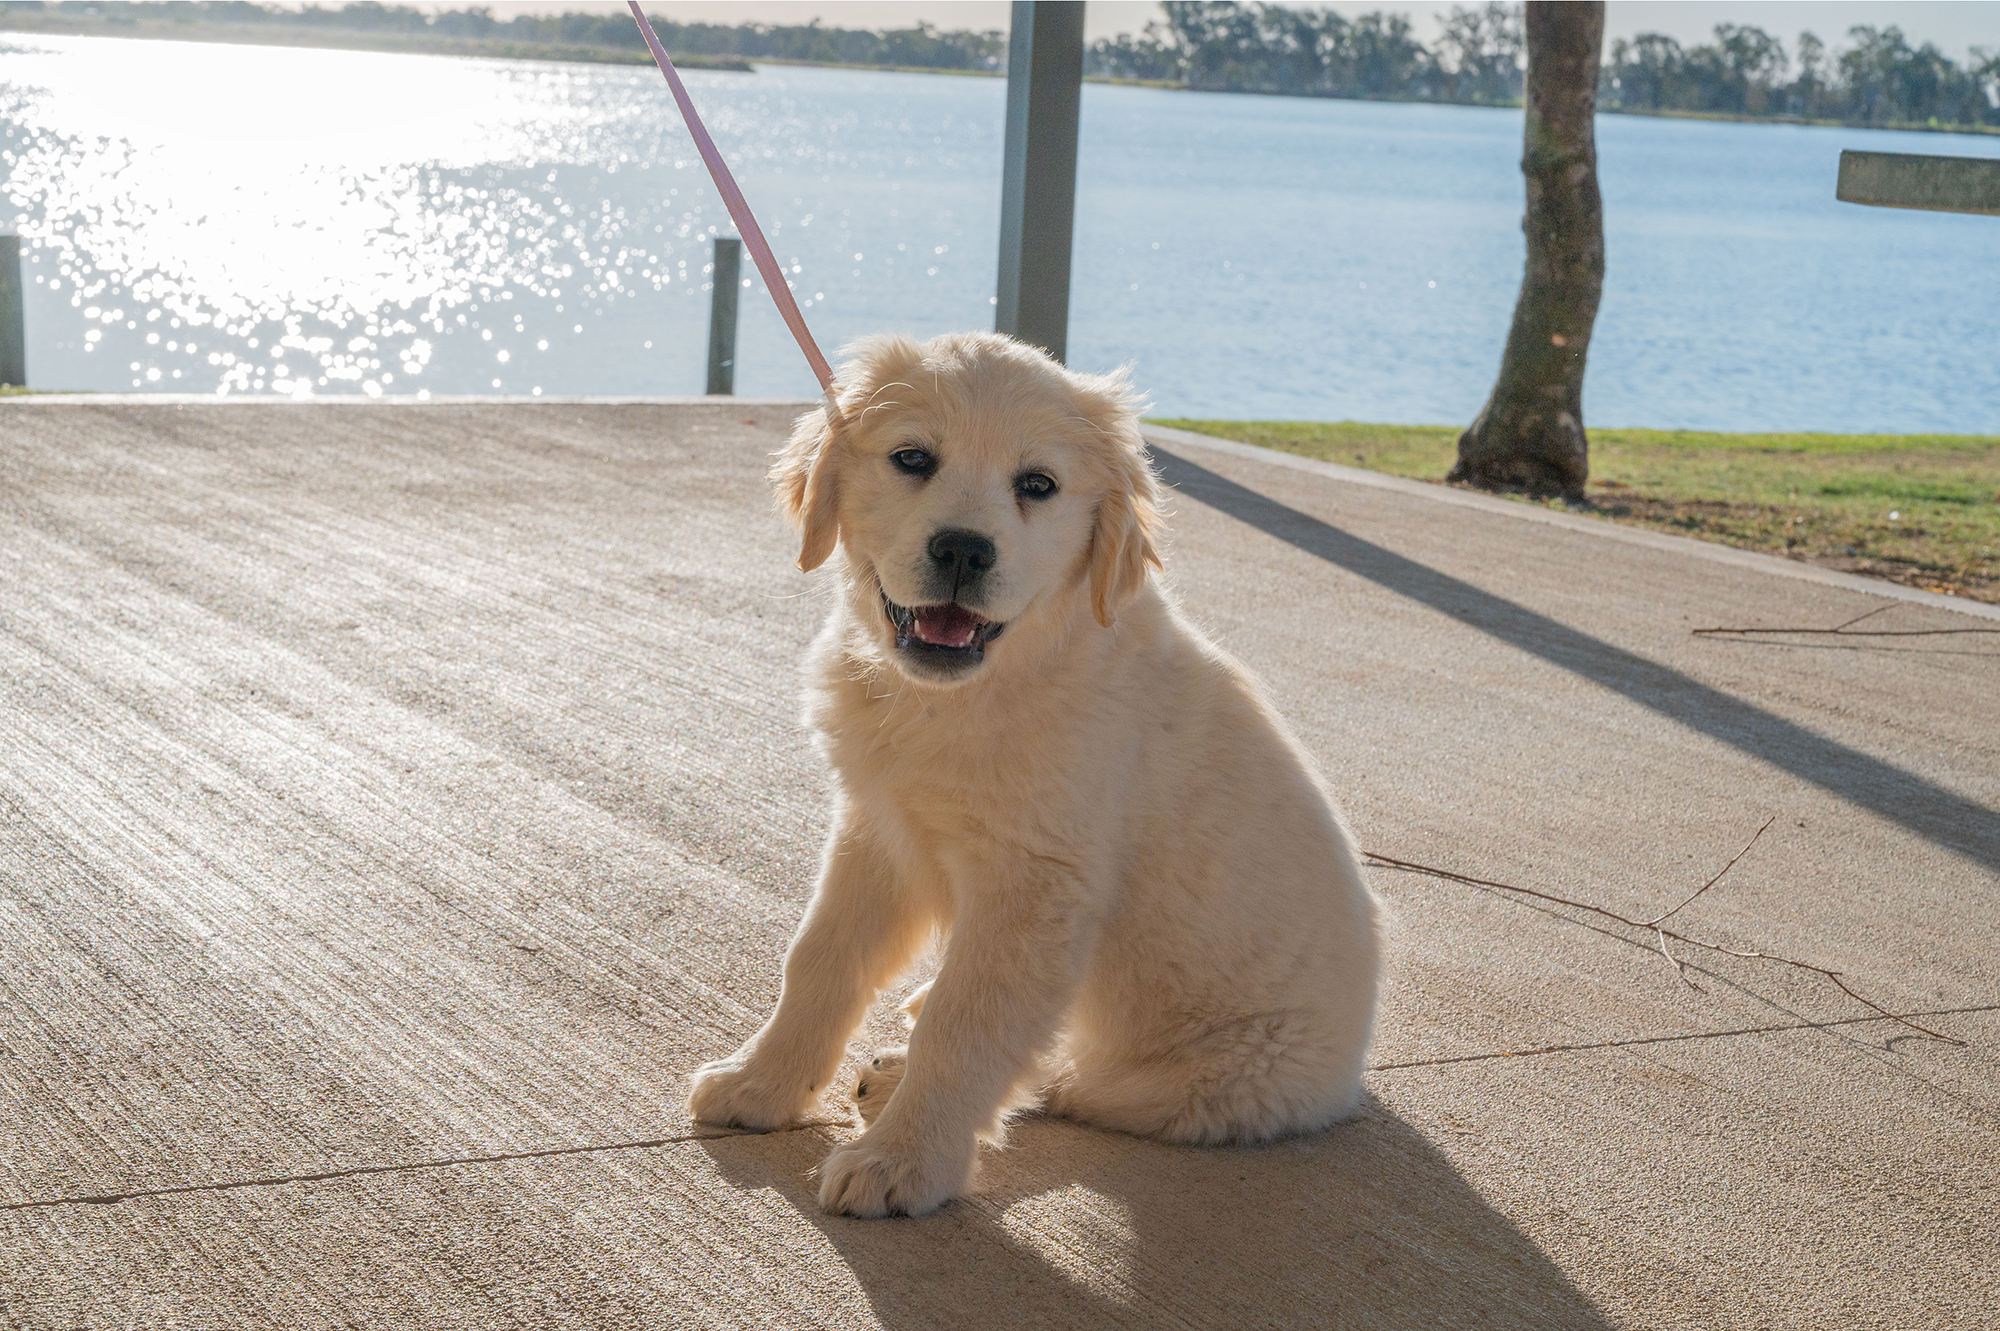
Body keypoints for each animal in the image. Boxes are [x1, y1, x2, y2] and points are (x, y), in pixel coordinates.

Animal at [688, 329, 1376, 1215]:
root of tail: (1347, 1076)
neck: (967, 692)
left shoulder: (1036, 887)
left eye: (1038, 486)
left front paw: (904, 1160)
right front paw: (762, 1082)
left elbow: (965, 1024)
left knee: (1059, 1073)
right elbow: (819, 958)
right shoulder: (881, 829)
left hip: (1213, 1079)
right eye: (913, 458)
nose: (962, 548)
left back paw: (915, 1080)